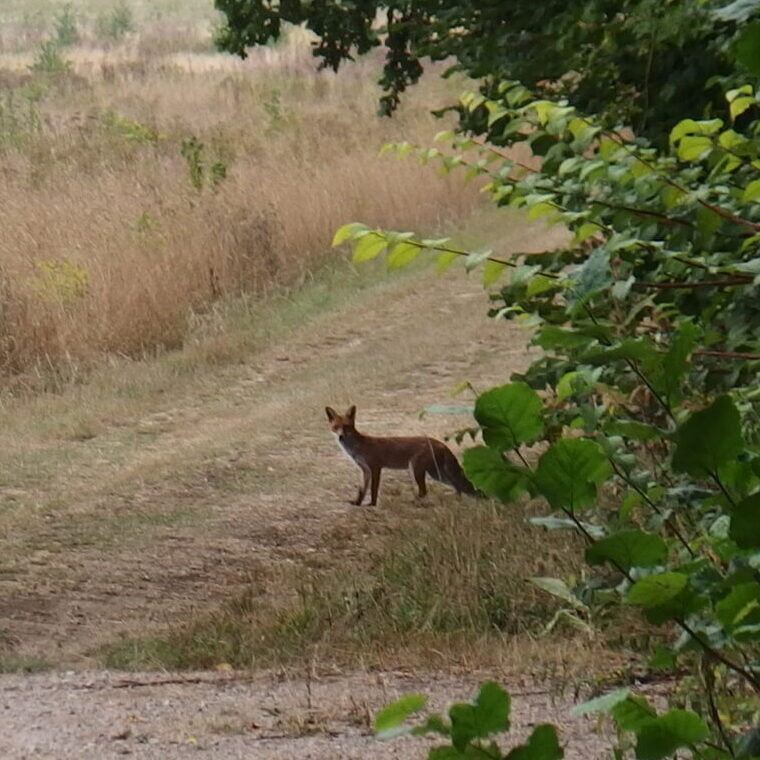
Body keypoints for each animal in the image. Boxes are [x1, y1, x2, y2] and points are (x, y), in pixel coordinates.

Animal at [325, 404, 479, 506]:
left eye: (346, 427)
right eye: (336, 427)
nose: (341, 437)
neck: (357, 447)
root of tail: (439, 442)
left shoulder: (375, 467)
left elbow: (374, 489)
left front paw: (372, 504)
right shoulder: (365, 470)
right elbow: (361, 490)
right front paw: (357, 503)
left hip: (416, 469)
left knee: (425, 491)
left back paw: (412, 501)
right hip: (436, 473)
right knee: (456, 485)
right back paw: (457, 499)